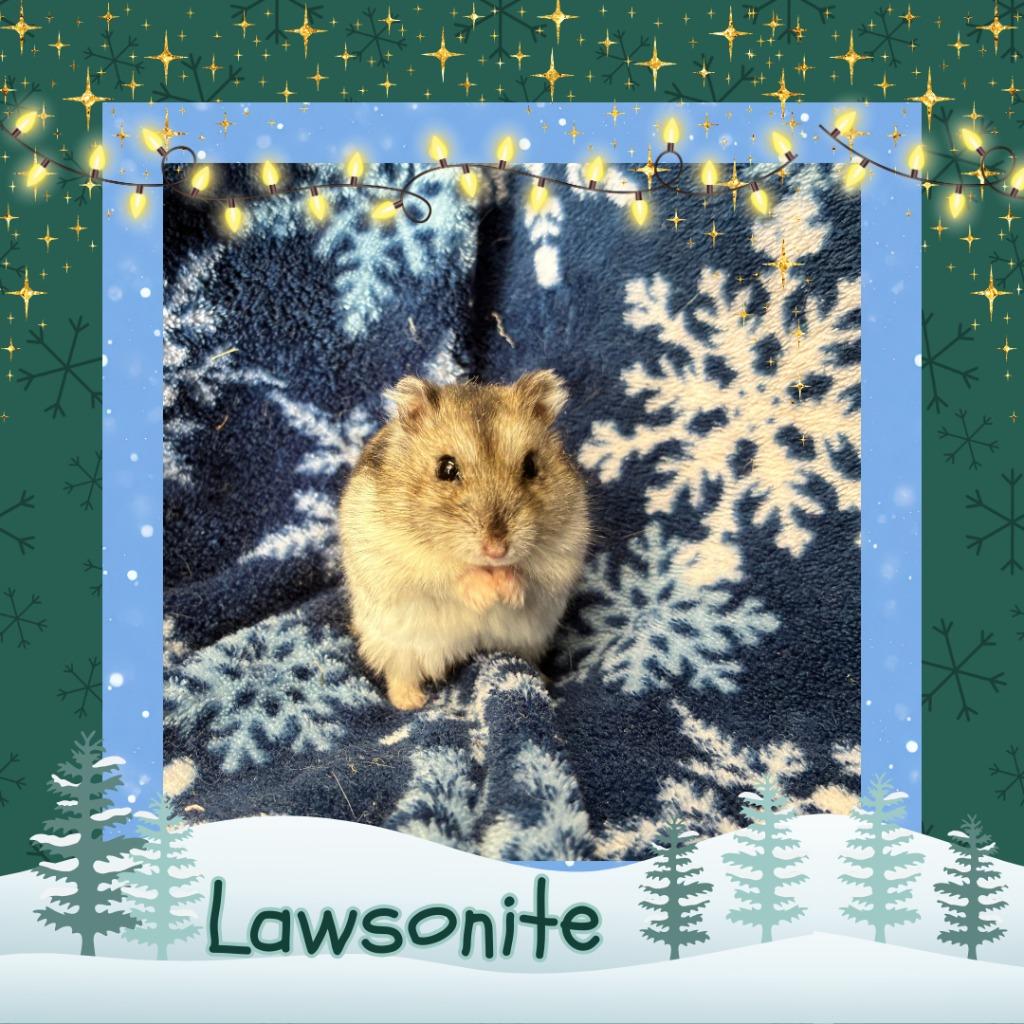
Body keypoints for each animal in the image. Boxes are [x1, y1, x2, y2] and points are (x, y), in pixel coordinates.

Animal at [339, 370, 590, 710]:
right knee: (399, 673)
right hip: (393, 642)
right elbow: (449, 574)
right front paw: (487, 595)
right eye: (446, 468)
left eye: (531, 466)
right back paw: (411, 703)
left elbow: (527, 573)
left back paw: (544, 682)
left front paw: (505, 591)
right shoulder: (402, 556)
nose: (497, 550)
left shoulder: (564, 550)